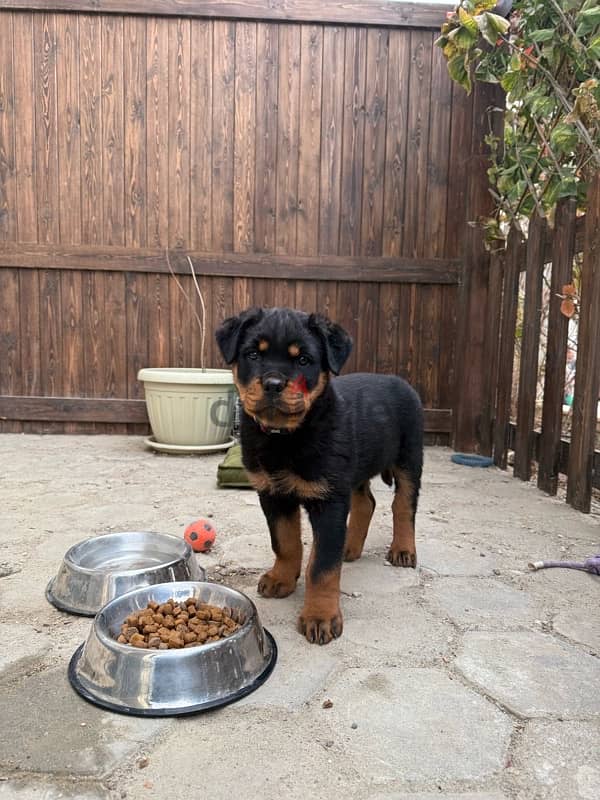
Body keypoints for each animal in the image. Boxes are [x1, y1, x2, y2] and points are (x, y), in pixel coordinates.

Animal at [216, 306, 422, 644]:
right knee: (366, 502)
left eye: (303, 360)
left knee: (403, 506)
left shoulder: (329, 500)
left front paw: (320, 617)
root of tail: (402, 382)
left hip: (409, 458)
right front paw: (281, 579)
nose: (273, 383)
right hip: (354, 470)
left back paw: (403, 550)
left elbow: (323, 566)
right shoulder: (273, 494)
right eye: (253, 354)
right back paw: (349, 546)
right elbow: (285, 542)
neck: (285, 437)